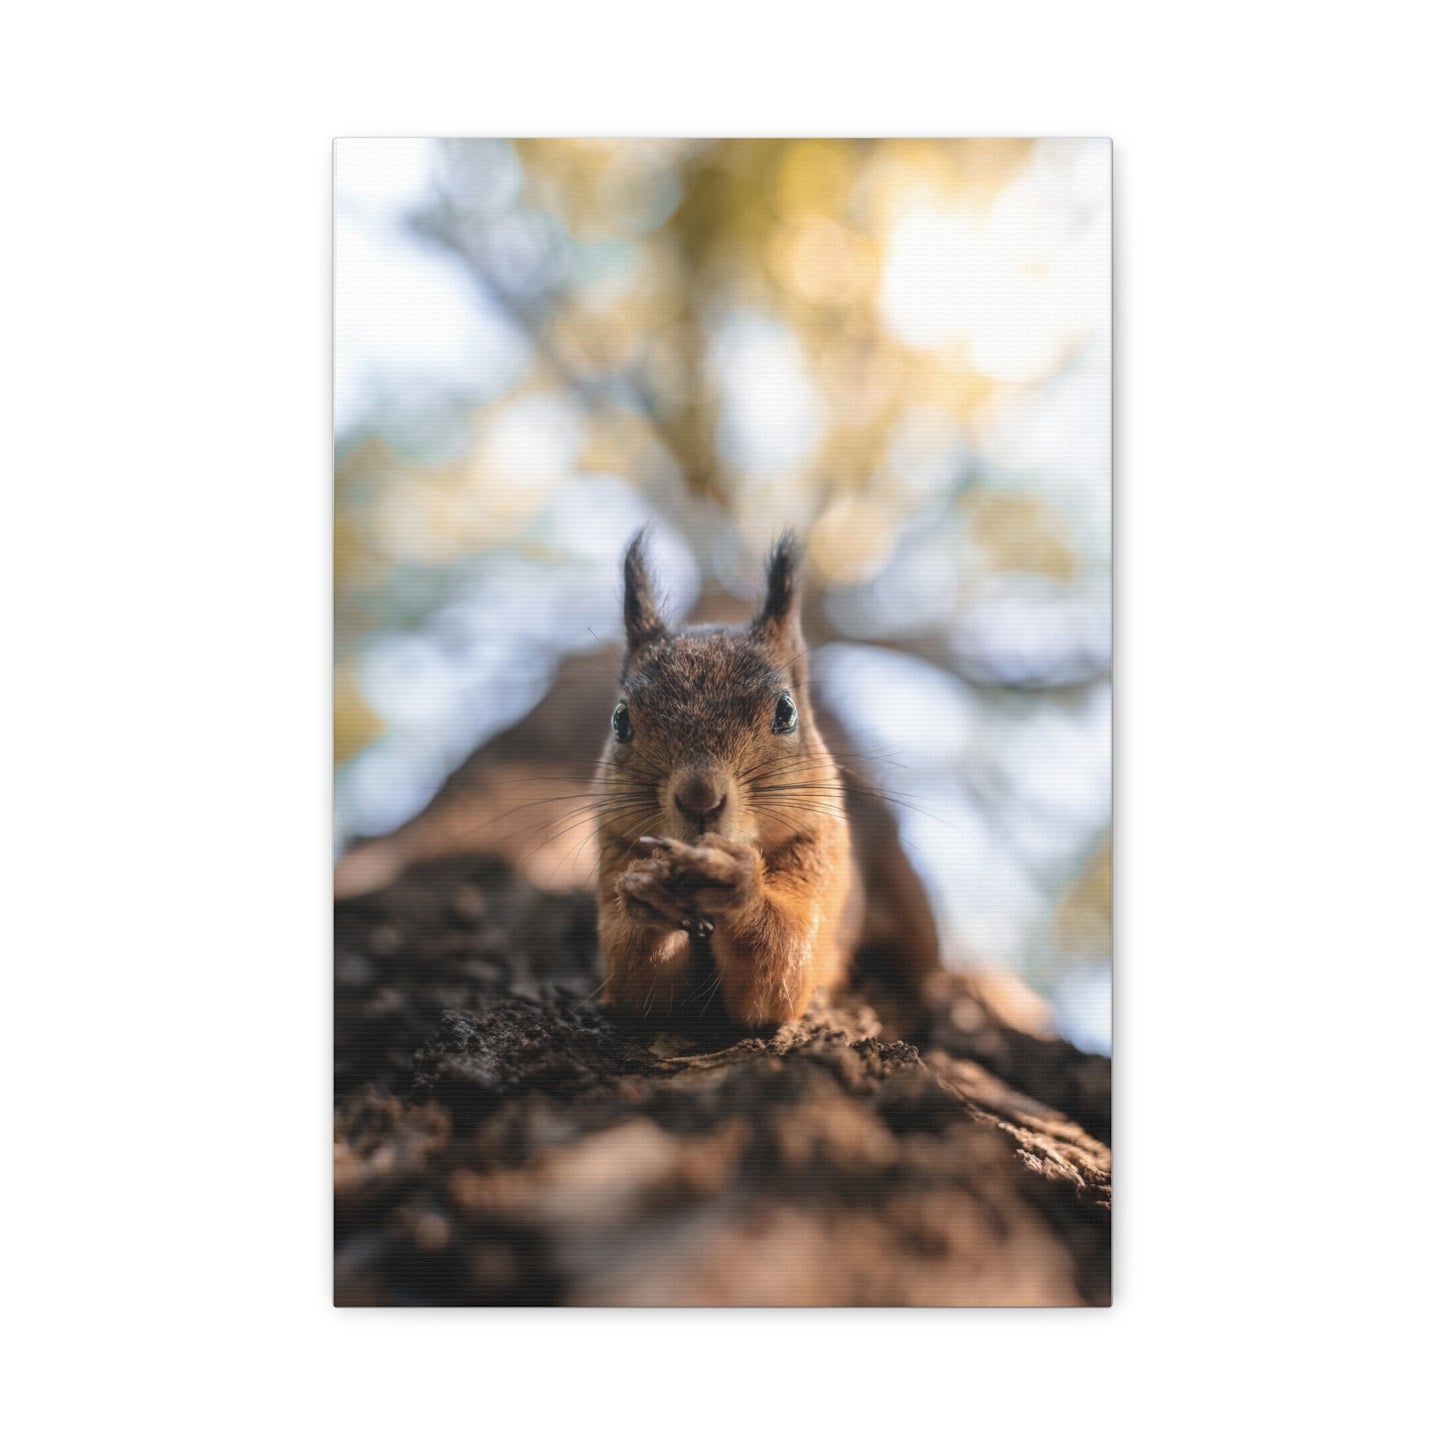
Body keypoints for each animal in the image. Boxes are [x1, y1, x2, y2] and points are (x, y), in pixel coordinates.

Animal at [596, 530, 940, 1031]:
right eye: (620, 720)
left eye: (786, 711)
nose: (699, 798)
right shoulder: (612, 851)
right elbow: (639, 986)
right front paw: (650, 891)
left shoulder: (822, 852)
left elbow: (780, 970)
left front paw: (737, 880)